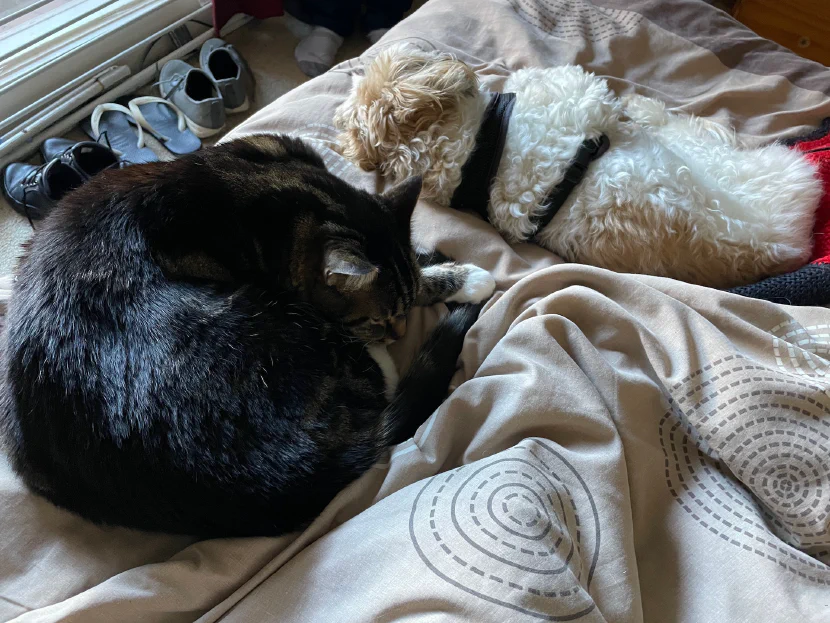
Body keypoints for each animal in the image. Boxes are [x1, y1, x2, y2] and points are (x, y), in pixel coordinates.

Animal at [0, 135, 494, 536]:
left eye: (398, 317)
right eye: (381, 319)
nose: (399, 332)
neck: (284, 192)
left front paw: (438, 265)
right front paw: (463, 277)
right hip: (271, 320)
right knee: (376, 384)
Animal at [334, 46, 824, 290]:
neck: (475, 149)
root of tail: (785, 246)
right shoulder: (584, 93)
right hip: (756, 159)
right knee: (694, 130)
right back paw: (648, 111)